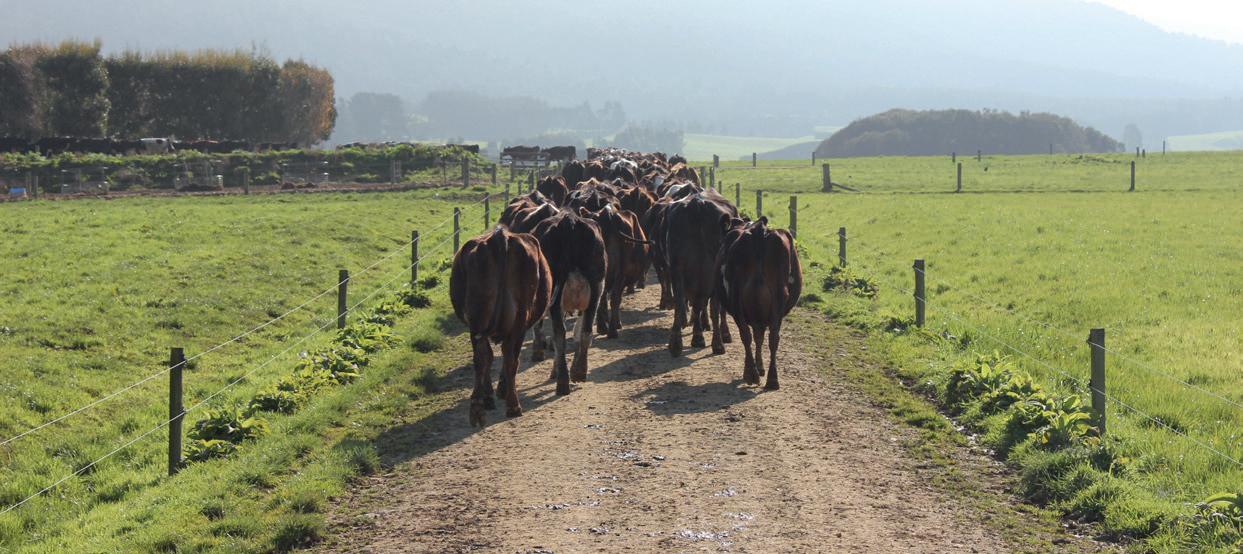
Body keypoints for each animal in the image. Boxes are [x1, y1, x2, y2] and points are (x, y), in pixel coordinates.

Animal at [450, 226, 553, 426]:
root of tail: (500, 237)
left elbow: (489, 357)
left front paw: (489, 394)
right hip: (519, 319)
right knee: (508, 356)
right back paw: (512, 405)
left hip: (478, 319)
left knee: (482, 358)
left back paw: (478, 407)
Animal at [529, 211, 607, 395]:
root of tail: (569, 221)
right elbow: (578, 331)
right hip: (596, 288)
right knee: (585, 331)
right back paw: (579, 372)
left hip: (557, 296)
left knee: (560, 335)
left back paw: (562, 380)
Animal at [716, 217, 802, 389]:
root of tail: (759, 230)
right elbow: (759, 337)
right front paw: (760, 367)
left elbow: (755, 337)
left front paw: (757, 368)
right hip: (777, 298)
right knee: (772, 337)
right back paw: (772, 379)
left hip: (738, 298)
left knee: (747, 335)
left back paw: (752, 374)